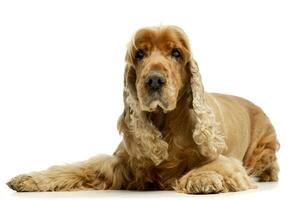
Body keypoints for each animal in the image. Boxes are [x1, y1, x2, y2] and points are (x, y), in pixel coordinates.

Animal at [7, 25, 278, 195]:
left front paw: (202, 178)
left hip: (264, 148)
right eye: (140, 53)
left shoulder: (226, 160)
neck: (164, 122)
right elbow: (78, 167)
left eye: (176, 52)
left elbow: (215, 166)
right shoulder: (121, 164)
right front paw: (31, 179)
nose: (155, 80)